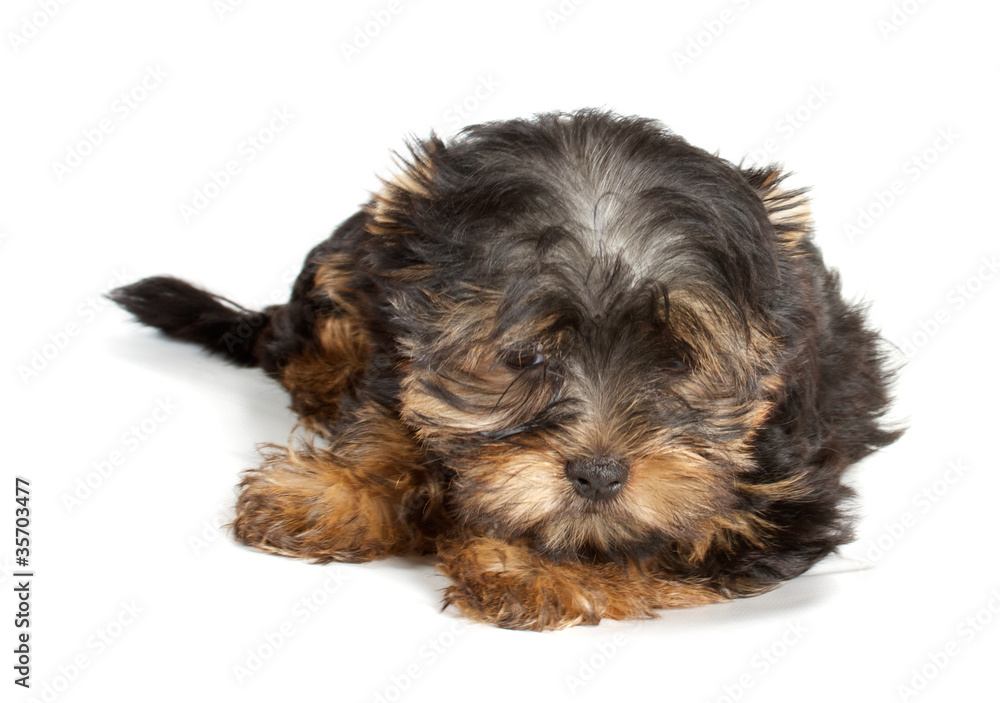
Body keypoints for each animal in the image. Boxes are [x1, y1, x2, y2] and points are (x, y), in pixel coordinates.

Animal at [113, 110, 904, 632]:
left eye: (678, 360)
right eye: (524, 358)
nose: (598, 475)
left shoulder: (784, 500)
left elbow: (668, 539)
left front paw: (535, 567)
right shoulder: (396, 340)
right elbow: (389, 418)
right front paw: (336, 491)